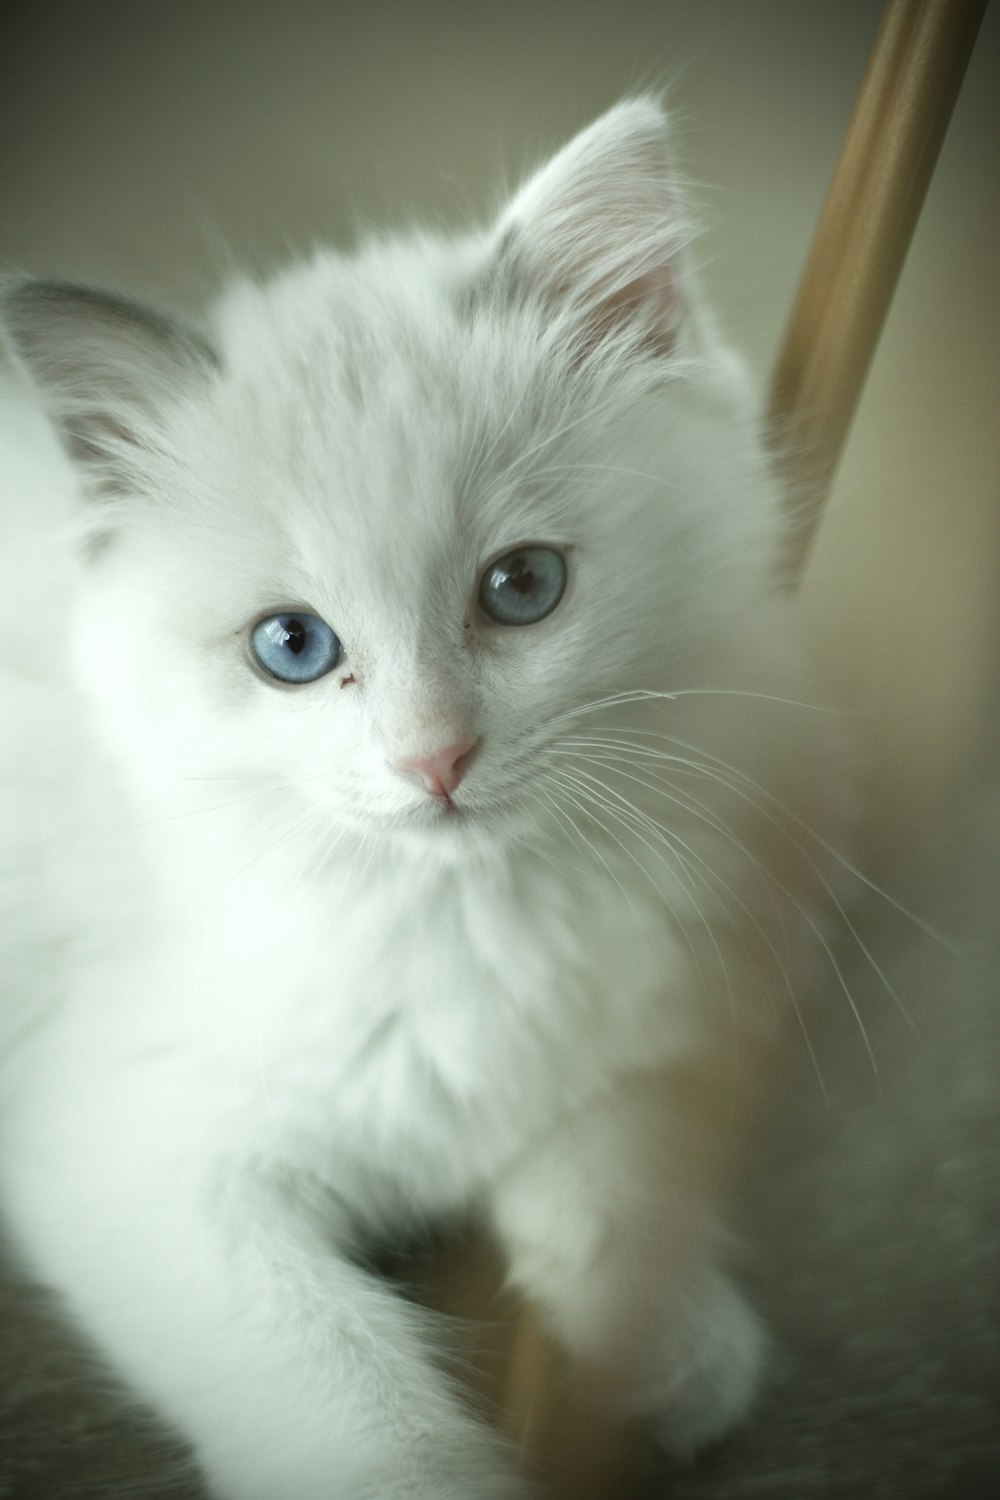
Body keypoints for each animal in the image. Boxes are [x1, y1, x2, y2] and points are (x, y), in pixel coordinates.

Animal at [1, 99, 851, 1494]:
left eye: (521, 586)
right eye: (290, 646)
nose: (433, 759)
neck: (467, 920)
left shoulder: (664, 982)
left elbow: (620, 1167)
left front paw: (666, 1349)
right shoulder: (133, 1157)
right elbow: (347, 1401)